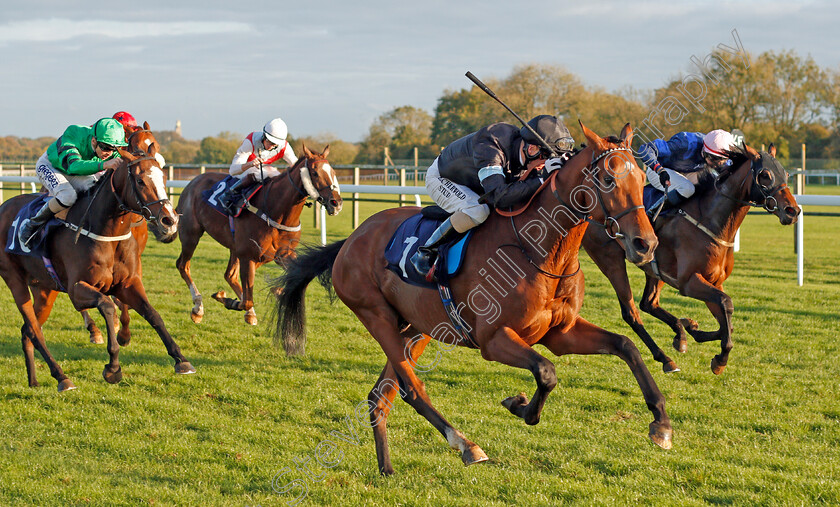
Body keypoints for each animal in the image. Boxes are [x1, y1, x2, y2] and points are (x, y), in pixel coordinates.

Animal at [0, 149, 194, 390]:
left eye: (164, 178)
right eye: (140, 181)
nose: (169, 220)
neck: (106, 233)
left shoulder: (128, 283)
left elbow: (153, 314)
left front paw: (181, 360)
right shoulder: (76, 289)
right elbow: (107, 306)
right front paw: (113, 368)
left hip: (44, 289)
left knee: (27, 330)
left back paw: (34, 381)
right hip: (15, 280)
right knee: (35, 331)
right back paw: (62, 377)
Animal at [174, 144, 342, 326]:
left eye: (333, 172)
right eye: (315, 173)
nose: (336, 203)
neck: (275, 210)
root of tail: (193, 182)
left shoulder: (282, 253)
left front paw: (276, 292)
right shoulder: (249, 256)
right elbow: (247, 300)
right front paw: (229, 300)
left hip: (237, 248)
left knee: (230, 275)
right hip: (191, 234)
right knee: (183, 265)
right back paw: (198, 308)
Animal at [272, 124, 672, 476]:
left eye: (642, 179)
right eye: (607, 179)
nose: (646, 244)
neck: (540, 250)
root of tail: (351, 240)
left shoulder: (560, 333)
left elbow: (624, 346)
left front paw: (662, 423)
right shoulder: (493, 340)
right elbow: (546, 372)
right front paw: (519, 405)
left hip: (417, 328)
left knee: (379, 397)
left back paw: (386, 467)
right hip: (377, 317)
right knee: (412, 390)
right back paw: (466, 445)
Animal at [584, 142, 800, 374]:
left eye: (786, 174)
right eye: (765, 175)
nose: (793, 211)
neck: (711, 222)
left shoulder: (714, 281)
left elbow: (727, 320)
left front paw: (692, 329)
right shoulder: (689, 282)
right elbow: (727, 303)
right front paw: (720, 359)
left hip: (656, 270)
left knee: (648, 303)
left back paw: (680, 333)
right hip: (610, 259)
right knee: (631, 311)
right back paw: (666, 358)